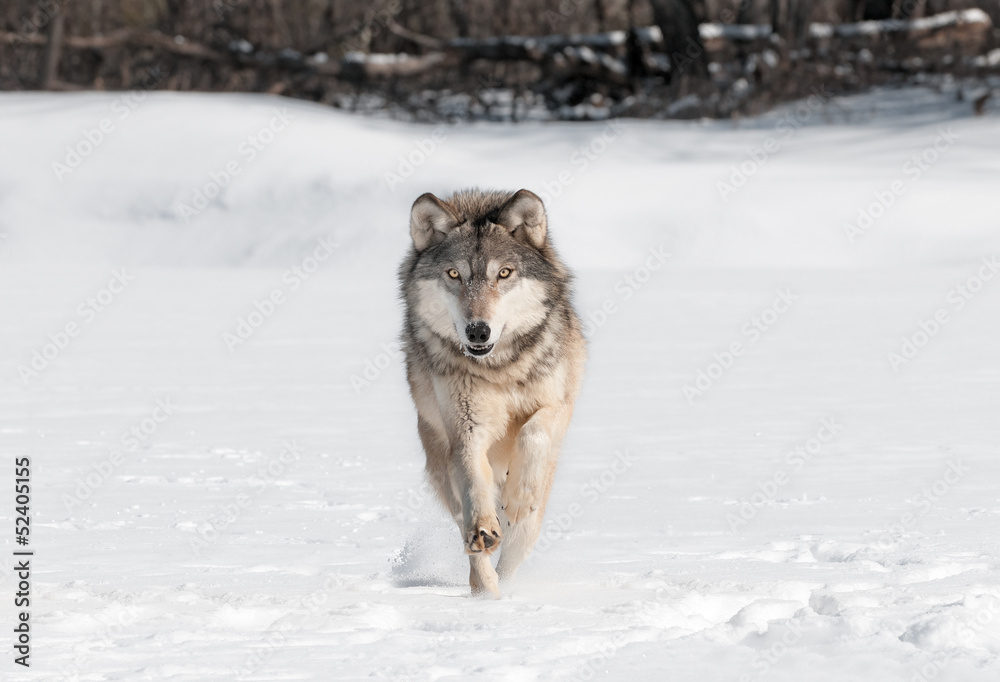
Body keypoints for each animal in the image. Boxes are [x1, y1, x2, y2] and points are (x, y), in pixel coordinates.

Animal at [398, 187, 584, 596]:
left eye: (504, 273)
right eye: (455, 274)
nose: (478, 331)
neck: (500, 369)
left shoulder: (557, 405)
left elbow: (533, 432)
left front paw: (518, 497)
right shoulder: (466, 431)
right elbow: (473, 483)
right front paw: (484, 530)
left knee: (518, 546)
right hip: (443, 471)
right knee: (473, 541)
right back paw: (486, 593)